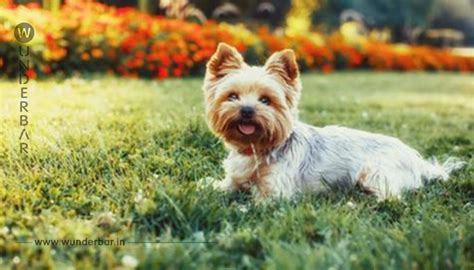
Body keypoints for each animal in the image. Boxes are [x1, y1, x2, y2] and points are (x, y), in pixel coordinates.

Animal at [202, 42, 464, 200]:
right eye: (232, 96)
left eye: (266, 100)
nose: (246, 110)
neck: (257, 148)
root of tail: (417, 160)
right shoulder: (233, 180)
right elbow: (221, 186)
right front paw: (205, 186)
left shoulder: (275, 192)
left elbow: (254, 202)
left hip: (374, 171)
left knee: (392, 196)